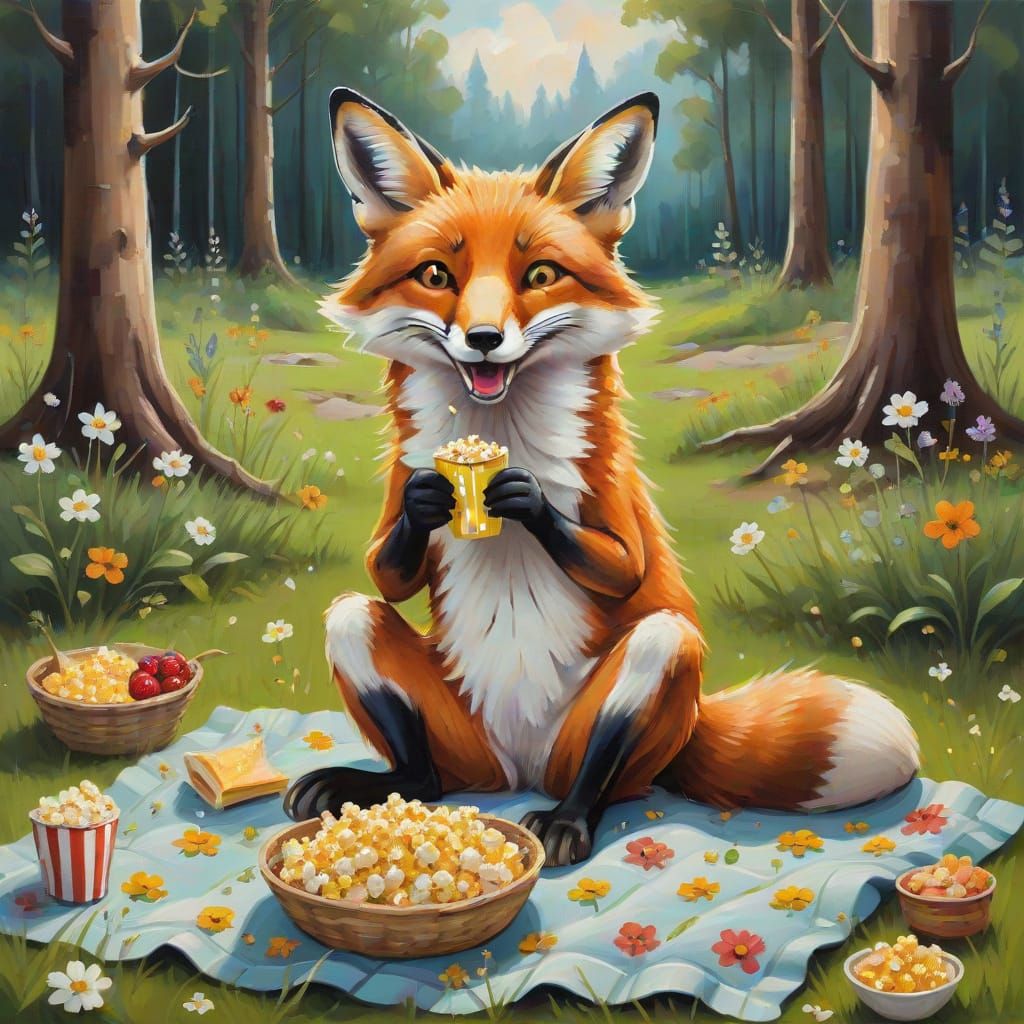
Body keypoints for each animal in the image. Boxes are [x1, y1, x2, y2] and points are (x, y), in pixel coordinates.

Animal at [283, 87, 920, 866]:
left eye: (540, 275)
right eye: (437, 276)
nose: (484, 339)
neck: (498, 429)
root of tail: (519, 772)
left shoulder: (612, 492)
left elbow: (620, 563)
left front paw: (526, 499)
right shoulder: (399, 482)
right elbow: (385, 569)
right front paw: (428, 503)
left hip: (647, 667)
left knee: (607, 762)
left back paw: (567, 821)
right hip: (450, 734)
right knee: (420, 762)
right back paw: (376, 783)